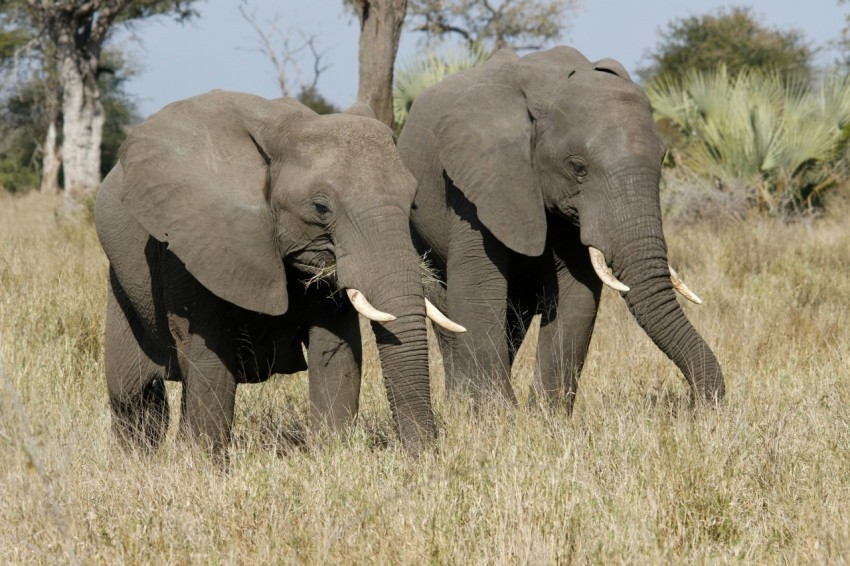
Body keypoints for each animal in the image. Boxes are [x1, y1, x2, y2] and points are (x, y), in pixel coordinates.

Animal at [94, 91, 465, 457]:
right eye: (320, 208)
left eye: (412, 202)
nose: (425, 457)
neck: (286, 129)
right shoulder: (192, 241)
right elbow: (209, 355)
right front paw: (203, 465)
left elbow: (336, 351)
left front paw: (333, 454)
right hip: (123, 284)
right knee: (131, 392)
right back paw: (135, 460)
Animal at [397, 46, 725, 409]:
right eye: (578, 168)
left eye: (663, 159)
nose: (695, 405)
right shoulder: (478, 179)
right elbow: (478, 285)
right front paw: (497, 414)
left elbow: (577, 292)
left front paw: (544, 415)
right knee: (447, 309)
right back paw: (459, 403)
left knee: (515, 316)